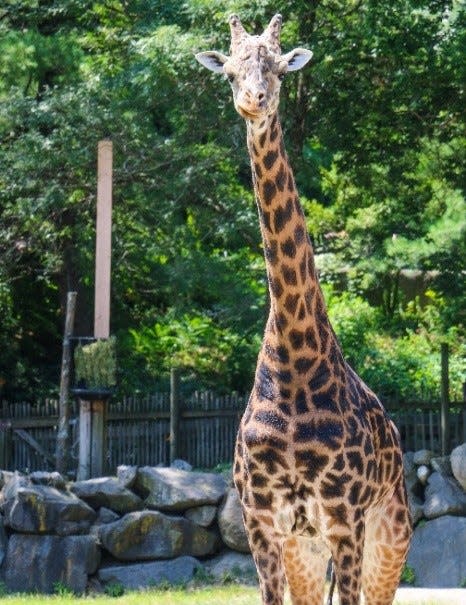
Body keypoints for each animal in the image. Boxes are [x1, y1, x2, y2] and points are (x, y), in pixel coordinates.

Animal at [196, 13, 412, 604]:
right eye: (229, 72)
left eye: (277, 67)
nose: (254, 100)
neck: (293, 362)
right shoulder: (262, 520)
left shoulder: (344, 516)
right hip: (306, 549)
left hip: (389, 536)